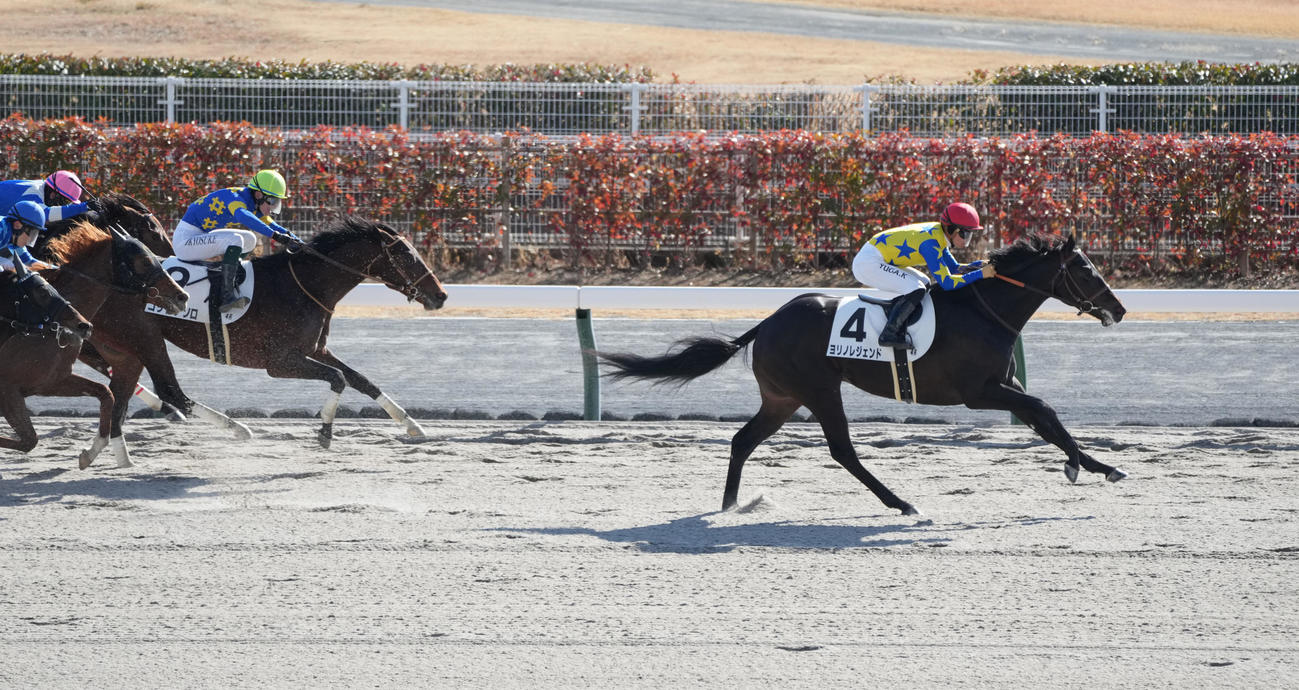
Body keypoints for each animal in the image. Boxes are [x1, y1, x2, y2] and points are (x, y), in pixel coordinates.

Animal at [0, 224, 188, 469]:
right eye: (145, 260)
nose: (182, 296)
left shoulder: (51, 381)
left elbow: (106, 394)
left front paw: (90, 453)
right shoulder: (9, 390)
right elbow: (28, 440)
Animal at [84, 217, 448, 449]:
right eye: (406, 255)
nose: (441, 295)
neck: (306, 285)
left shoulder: (315, 350)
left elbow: (362, 380)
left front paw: (411, 424)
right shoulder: (280, 362)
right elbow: (339, 379)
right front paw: (325, 433)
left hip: (125, 343)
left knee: (124, 385)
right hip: (145, 338)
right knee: (167, 389)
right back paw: (236, 429)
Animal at [597, 234, 1129, 516]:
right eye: (1085, 270)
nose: (1120, 309)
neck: (982, 311)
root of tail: (766, 323)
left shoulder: (1006, 386)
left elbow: (1047, 420)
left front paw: (1099, 465)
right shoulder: (979, 392)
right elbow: (1044, 410)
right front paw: (1077, 465)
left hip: (782, 398)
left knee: (743, 440)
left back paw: (730, 506)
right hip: (819, 389)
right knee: (842, 451)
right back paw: (901, 503)